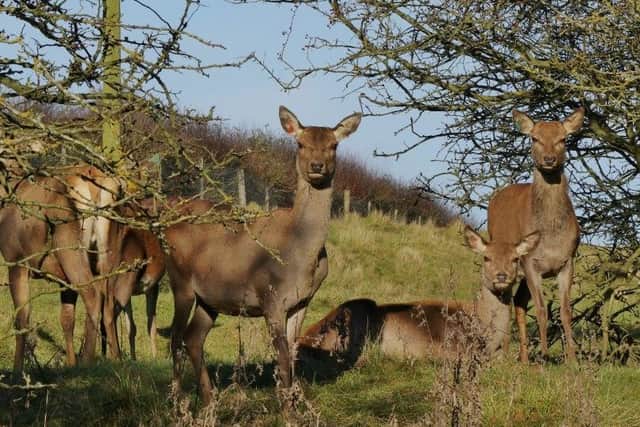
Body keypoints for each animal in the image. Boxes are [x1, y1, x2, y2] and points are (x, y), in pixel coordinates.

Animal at [0, 148, 120, 372]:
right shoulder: (62, 279)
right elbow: (66, 318)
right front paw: (69, 364)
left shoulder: (17, 260)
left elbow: (22, 318)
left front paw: (17, 370)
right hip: (109, 252)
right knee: (108, 301)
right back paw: (116, 359)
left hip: (68, 244)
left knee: (92, 294)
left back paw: (88, 361)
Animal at [165, 106, 360, 404]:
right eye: (300, 144)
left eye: (333, 145)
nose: (317, 166)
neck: (301, 257)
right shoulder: (271, 296)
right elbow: (282, 357)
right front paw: (287, 406)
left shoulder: (302, 301)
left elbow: (293, 352)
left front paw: (294, 399)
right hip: (180, 281)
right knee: (175, 336)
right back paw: (178, 399)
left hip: (211, 298)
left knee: (193, 337)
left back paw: (209, 399)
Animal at [488, 107, 584, 363]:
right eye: (534, 138)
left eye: (563, 139)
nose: (549, 159)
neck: (550, 238)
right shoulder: (530, 262)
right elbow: (541, 310)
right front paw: (544, 355)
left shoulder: (567, 262)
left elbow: (566, 311)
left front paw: (572, 358)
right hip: (507, 262)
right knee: (507, 301)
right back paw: (511, 356)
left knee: (519, 302)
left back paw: (523, 357)